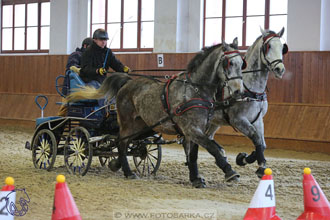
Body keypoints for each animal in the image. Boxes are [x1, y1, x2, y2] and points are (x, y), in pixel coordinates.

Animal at [67, 39, 245, 184]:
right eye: (228, 63)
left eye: (241, 63)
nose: (238, 91)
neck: (194, 90)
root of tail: (127, 82)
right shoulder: (192, 129)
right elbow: (212, 147)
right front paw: (230, 172)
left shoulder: (196, 130)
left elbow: (194, 154)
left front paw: (196, 178)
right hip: (127, 122)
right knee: (121, 142)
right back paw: (127, 172)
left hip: (142, 126)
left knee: (126, 142)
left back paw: (117, 164)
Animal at [184, 27, 288, 186]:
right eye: (268, 46)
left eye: (282, 47)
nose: (279, 69)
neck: (250, 88)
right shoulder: (239, 120)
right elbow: (255, 137)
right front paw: (253, 164)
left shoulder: (258, 120)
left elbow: (262, 143)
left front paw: (247, 159)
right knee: (192, 141)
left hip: (214, 122)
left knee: (207, 138)